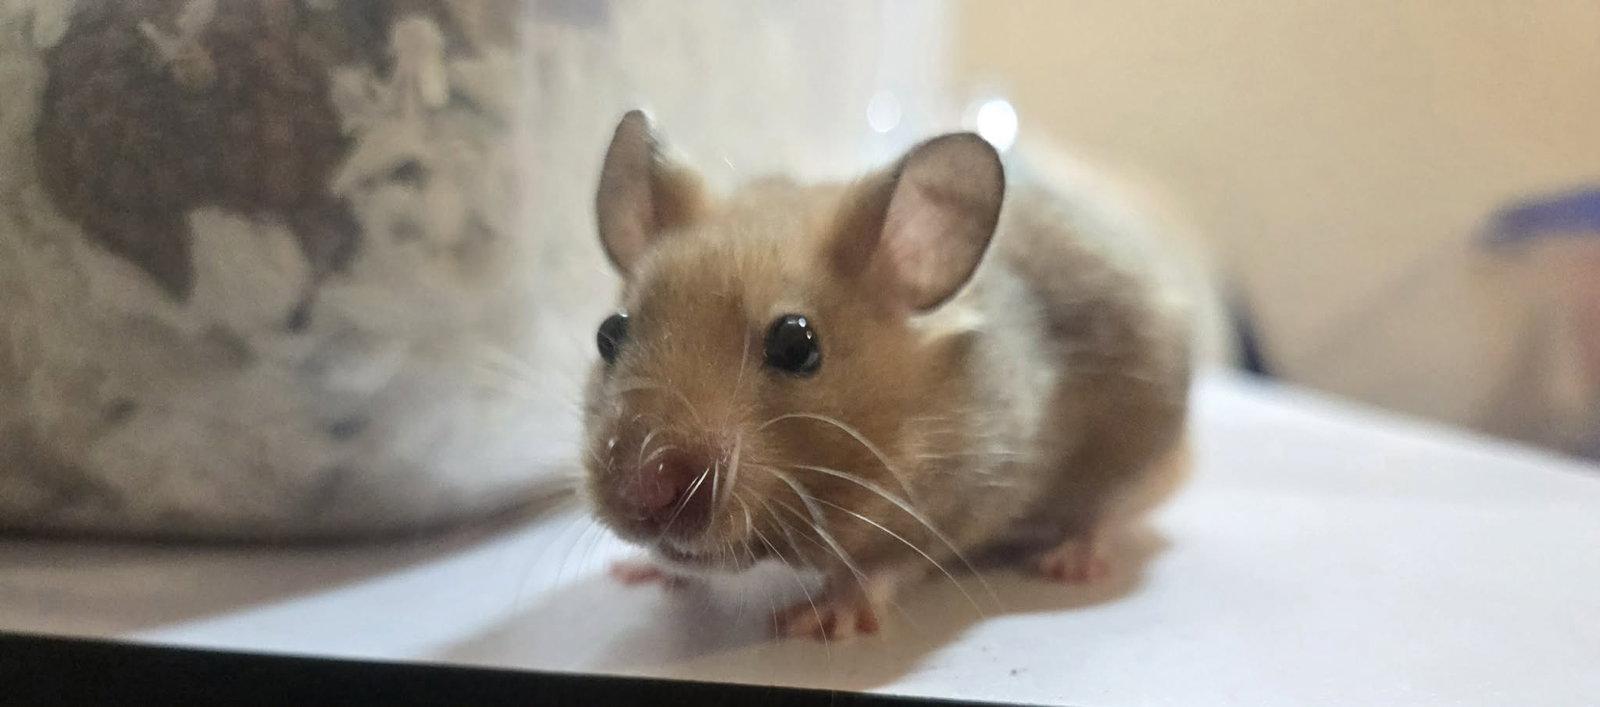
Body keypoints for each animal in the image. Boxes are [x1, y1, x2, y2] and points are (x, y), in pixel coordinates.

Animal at [580, 110, 1191, 640]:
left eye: (796, 343)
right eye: (609, 333)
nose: (642, 492)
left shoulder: (963, 498)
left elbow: (885, 566)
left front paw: (815, 622)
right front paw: (640, 572)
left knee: (1104, 511)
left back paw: (1070, 563)